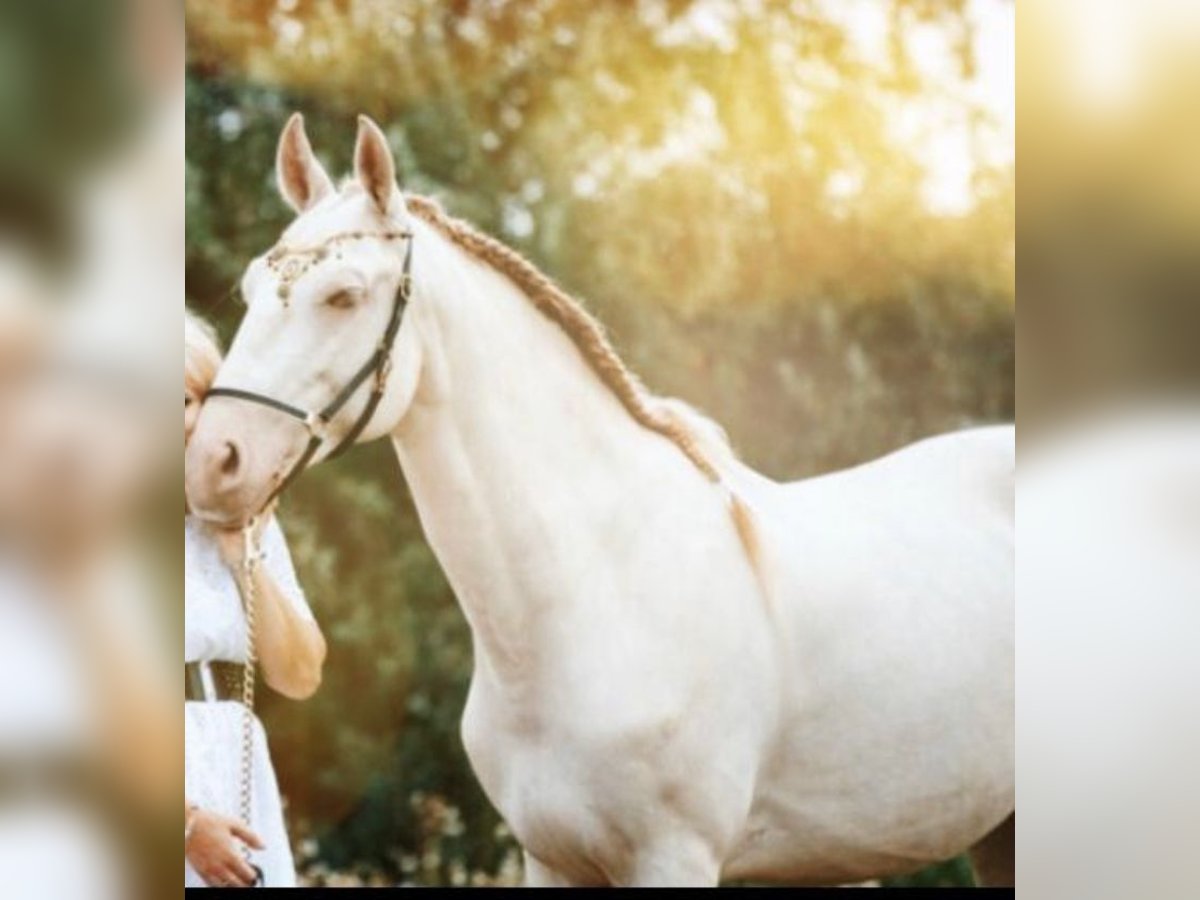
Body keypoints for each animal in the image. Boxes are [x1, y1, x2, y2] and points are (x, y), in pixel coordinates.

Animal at [187, 112, 1012, 888]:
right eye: (253, 289)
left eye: (343, 295)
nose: (212, 464)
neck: (595, 594)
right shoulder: (550, 859)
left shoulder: (674, 858)